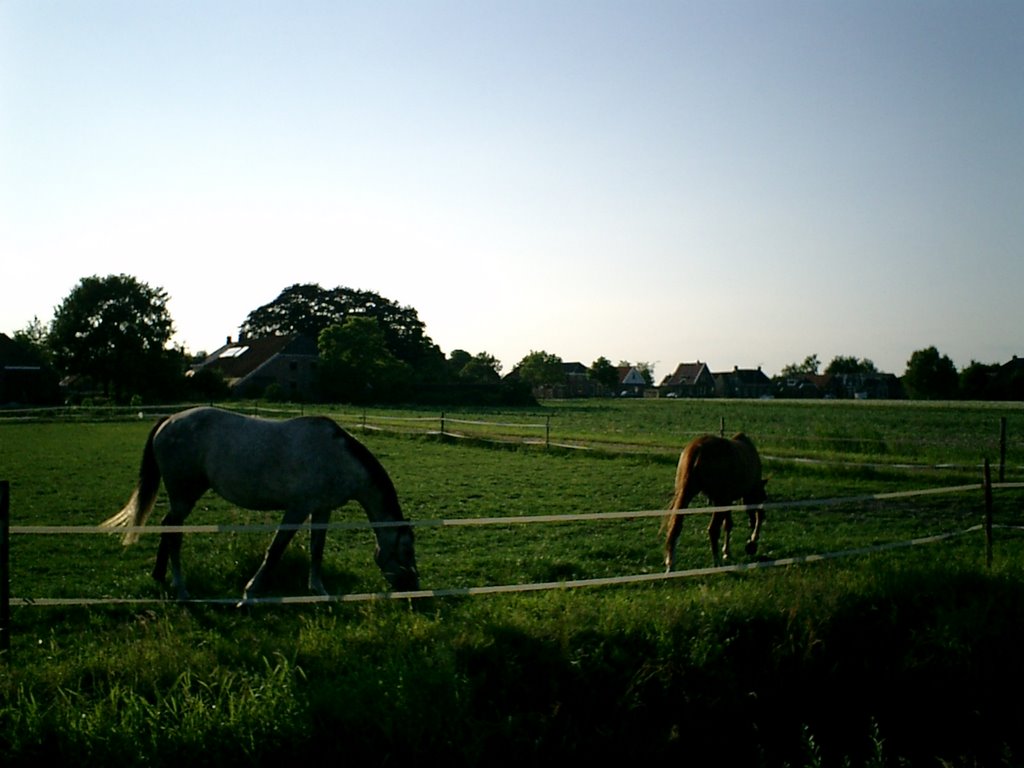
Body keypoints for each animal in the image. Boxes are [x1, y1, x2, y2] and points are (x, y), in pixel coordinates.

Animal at [102, 405, 419, 606]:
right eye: (406, 550)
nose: (413, 589)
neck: (336, 456)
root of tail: (169, 420)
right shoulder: (297, 508)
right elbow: (276, 550)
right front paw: (249, 594)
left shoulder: (321, 509)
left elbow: (317, 550)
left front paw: (319, 590)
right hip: (184, 496)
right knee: (173, 532)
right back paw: (181, 589)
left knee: (168, 530)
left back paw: (160, 576)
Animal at [663, 434, 770, 573]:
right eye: (762, 498)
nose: (752, 544)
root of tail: (699, 449)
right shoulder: (724, 501)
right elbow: (727, 525)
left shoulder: (726, 501)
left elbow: (728, 524)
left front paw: (727, 551)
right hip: (717, 500)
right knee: (713, 529)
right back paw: (717, 562)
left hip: (686, 495)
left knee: (675, 526)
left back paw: (671, 564)